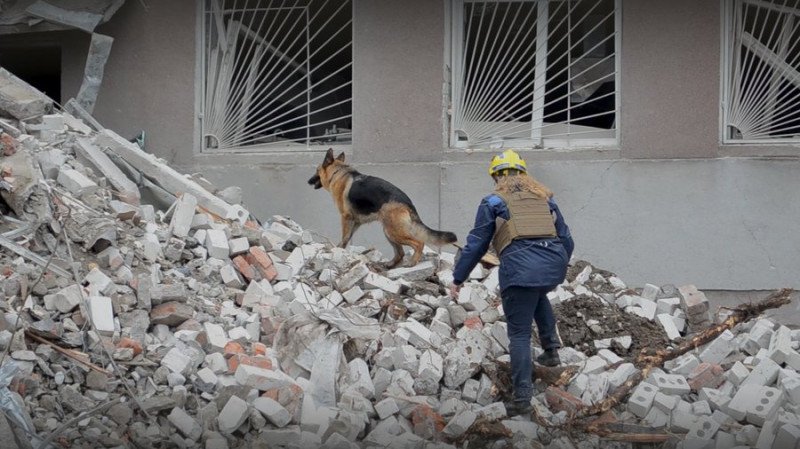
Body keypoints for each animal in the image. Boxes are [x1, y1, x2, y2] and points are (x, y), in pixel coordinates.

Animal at [308, 149, 456, 266]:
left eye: (316, 170)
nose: (308, 181)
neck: (338, 173)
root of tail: (408, 203)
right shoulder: (356, 222)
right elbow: (346, 238)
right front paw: (340, 250)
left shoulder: (345, 218)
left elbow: (344, 237)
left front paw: (339, 251)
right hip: (388, 231)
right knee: (400, 253)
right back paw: (389, 265)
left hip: (393, 232)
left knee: (419, 243)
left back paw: (412, 262)